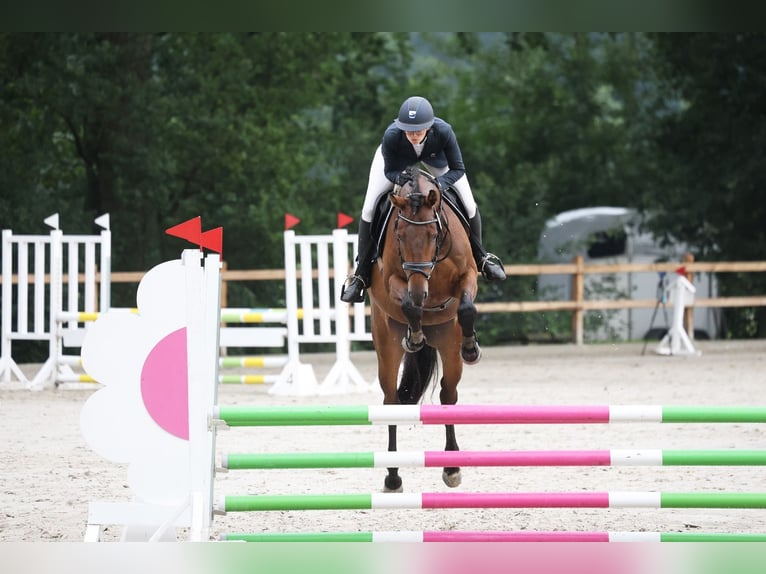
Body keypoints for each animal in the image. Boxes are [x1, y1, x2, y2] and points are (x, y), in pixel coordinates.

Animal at [368, 165, 484, 496]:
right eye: (399, 235)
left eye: (434, 234)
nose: (421, 289)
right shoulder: (393, 278)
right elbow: (410, 304)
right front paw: (415, 334)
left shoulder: (469, 275)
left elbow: (466, 308)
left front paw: (472, 347)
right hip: (386, 345)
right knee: (391, 401)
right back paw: (393, 476)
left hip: (448, 342)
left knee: (448, 394)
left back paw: (452, 468)